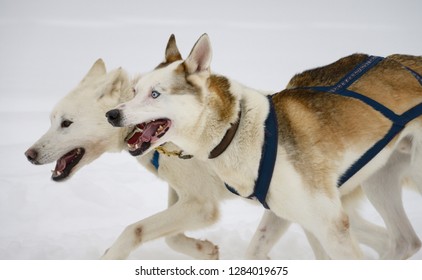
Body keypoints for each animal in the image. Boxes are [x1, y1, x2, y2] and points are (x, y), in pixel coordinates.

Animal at [108, 34, 422, 260]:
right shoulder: (283, 214)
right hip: (379, 182)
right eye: (134, 91)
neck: (239, 130)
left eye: (155, 94)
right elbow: (254, 251)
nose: (112, 115)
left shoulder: (331, 224)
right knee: (405, 241)